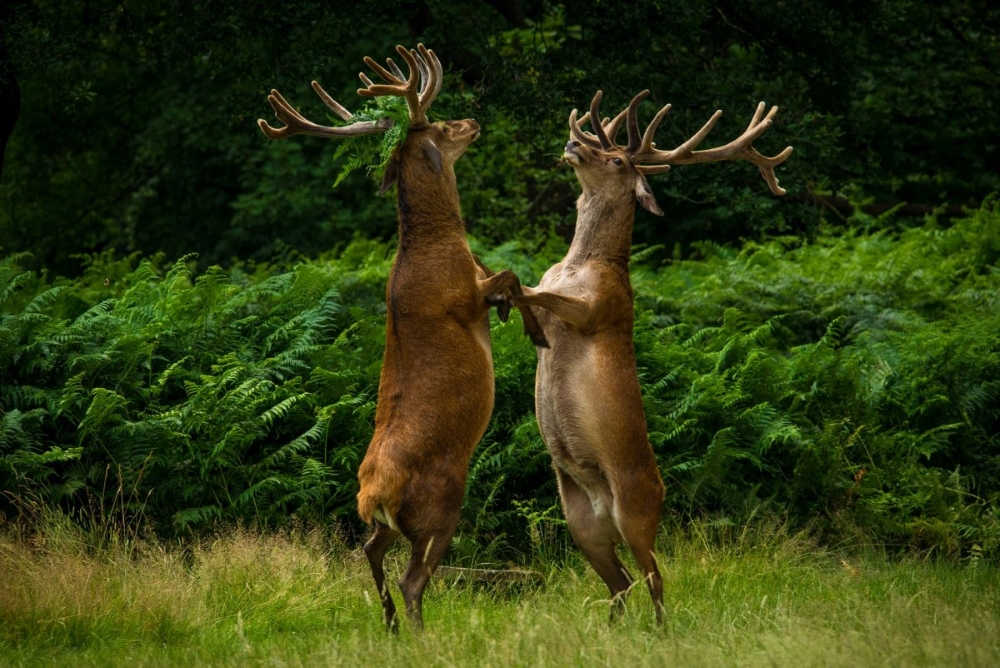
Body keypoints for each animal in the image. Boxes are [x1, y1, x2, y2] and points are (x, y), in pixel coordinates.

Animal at [254, 44, 544, 628]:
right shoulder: (464, 295)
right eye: (442, 125)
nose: (473, 122)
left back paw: (388, 624)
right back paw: (418, 631)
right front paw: (527, 322)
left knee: (369, 552)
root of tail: (372, 495)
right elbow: (509, 277)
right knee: (414, 579)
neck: (439, 242)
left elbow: (507, 274)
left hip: (389, 524)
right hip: (440, 505)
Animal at [512, 91, 792, 624]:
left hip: (638, 512)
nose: (572, 144)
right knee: (621, 582)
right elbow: (528, 292)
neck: (580, 266)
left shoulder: (601, 308)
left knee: (655, 580)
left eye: (617, 160)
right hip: (580, 523)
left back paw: (660, 631)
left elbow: (534, 291)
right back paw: (612, 628)